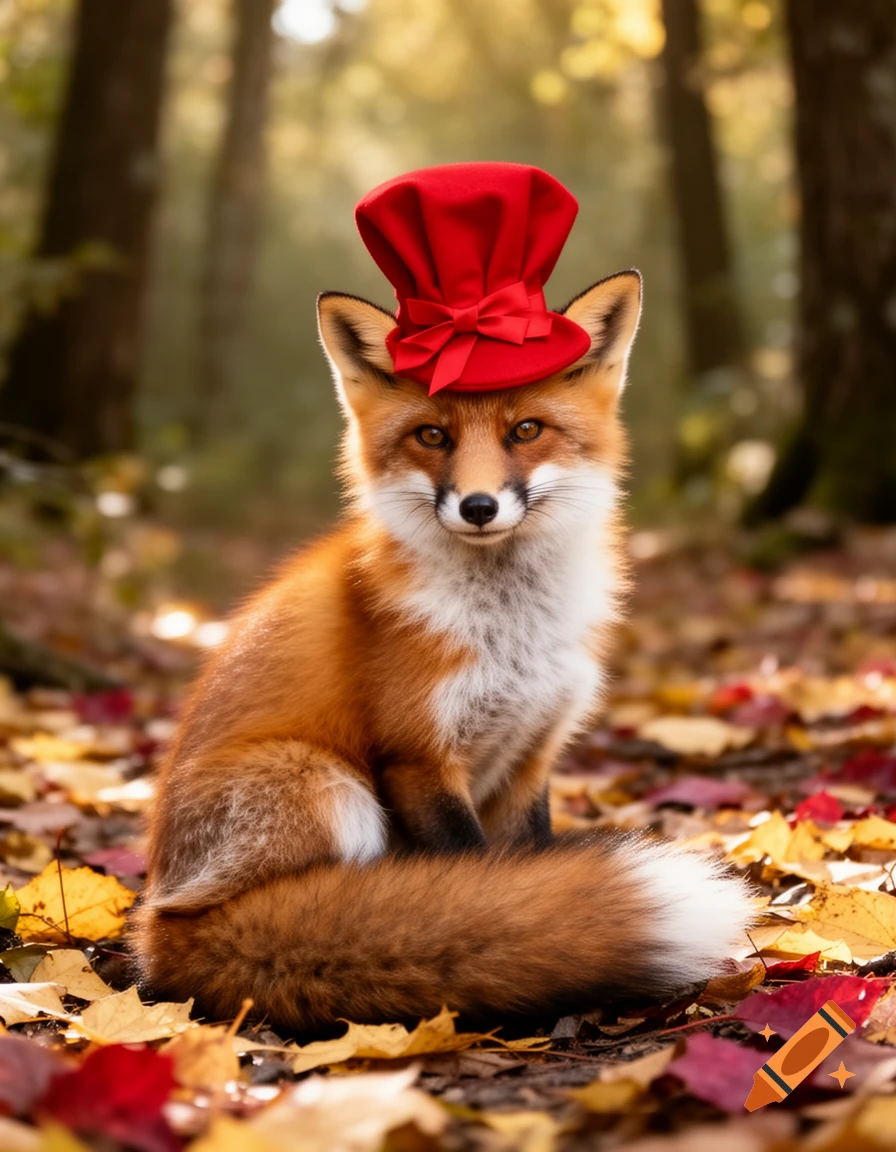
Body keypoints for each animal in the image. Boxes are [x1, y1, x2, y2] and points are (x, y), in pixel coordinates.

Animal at [132, 270, 752, 1033]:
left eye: (526, 430)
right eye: (432, 434)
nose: (479, 506)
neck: (510, 633)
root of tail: (158, 926)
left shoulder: (531, 753)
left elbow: (531, 869)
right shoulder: (416, 757)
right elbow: (480, 880)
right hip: (323, 782)